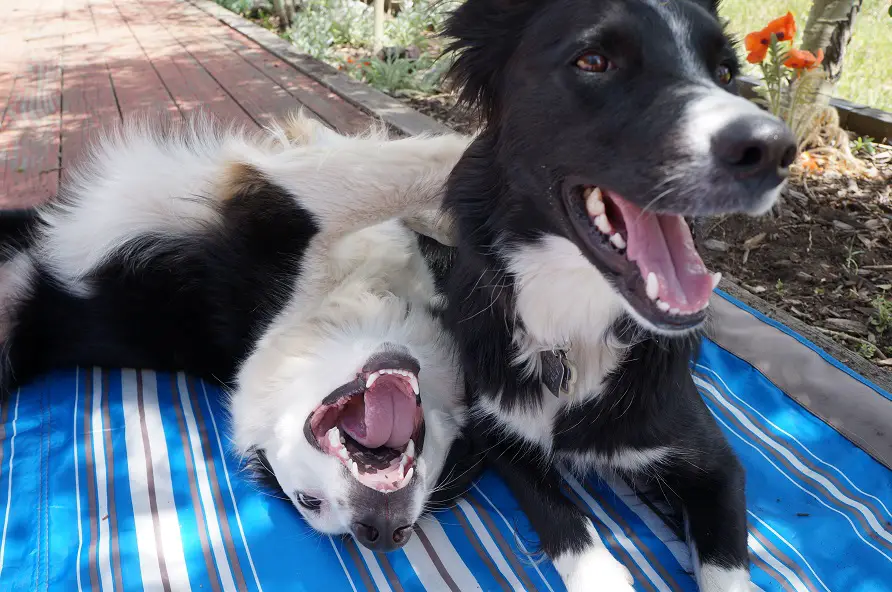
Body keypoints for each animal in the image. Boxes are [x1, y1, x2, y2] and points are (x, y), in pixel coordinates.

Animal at [440, 0, 796, 588]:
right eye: (594, 60)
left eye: (725, 73)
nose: (774, 150)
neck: (577, 325)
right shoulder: (502, 432)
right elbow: (561, 517)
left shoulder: (718, 467)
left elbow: (726, 567)